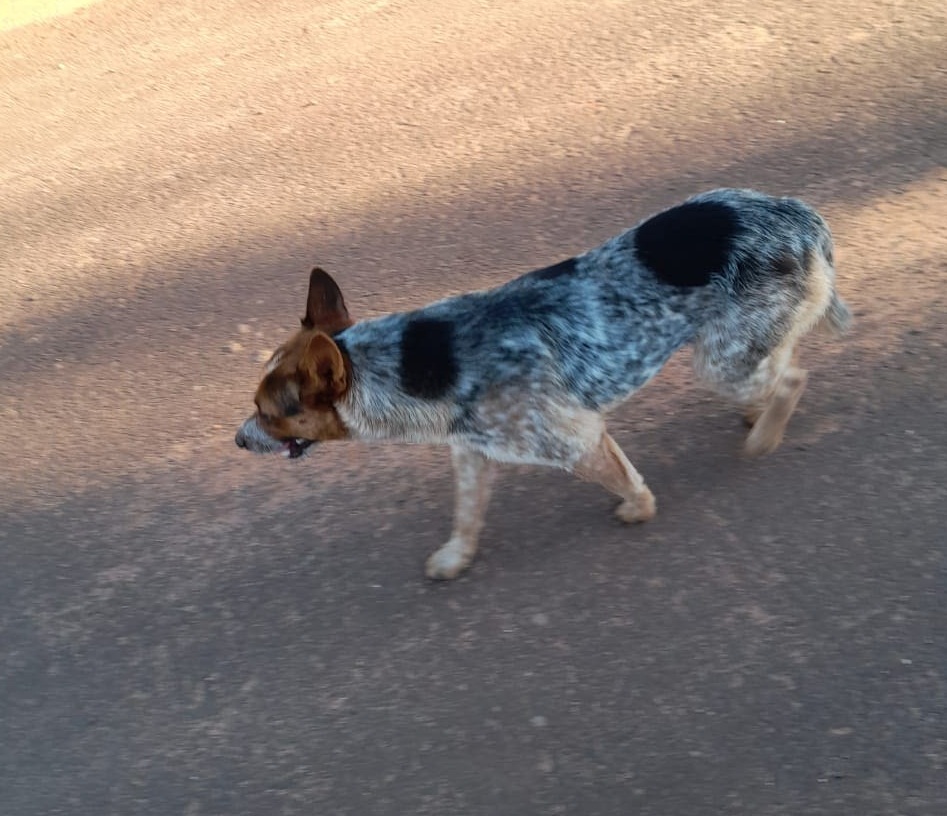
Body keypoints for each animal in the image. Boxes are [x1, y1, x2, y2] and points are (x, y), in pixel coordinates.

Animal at [236, 188, 851, 579]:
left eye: (269, 413)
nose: (238, 440)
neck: (410, 365)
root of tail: (799, 215)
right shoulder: (470, 454)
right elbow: (465, 515)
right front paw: (455, 558)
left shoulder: (577, 439)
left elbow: (626, 482)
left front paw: (638, 510)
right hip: (735, 347)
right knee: (781, 359)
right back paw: (761, 413)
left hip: (718, 364)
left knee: (792, 377)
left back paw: (765, 435)